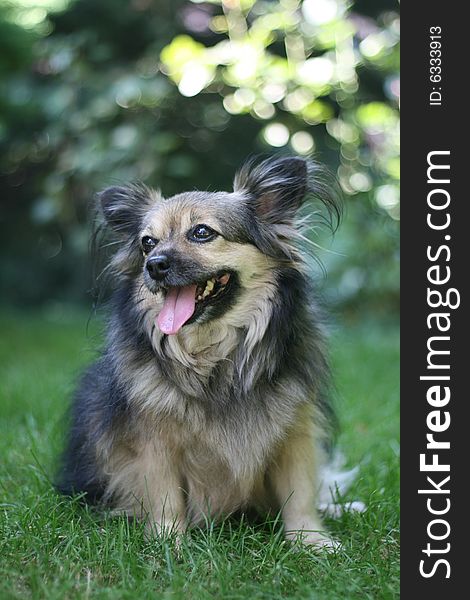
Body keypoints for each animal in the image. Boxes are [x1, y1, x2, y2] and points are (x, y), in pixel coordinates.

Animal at [59, 156, 346, 548]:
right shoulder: (153, 441)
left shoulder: (295, 430)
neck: (214, 359)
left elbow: (299, 489)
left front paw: (311, 540)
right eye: (147, 242)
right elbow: (164, 494)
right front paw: (168, 542)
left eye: (201, 232)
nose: (154, 265)